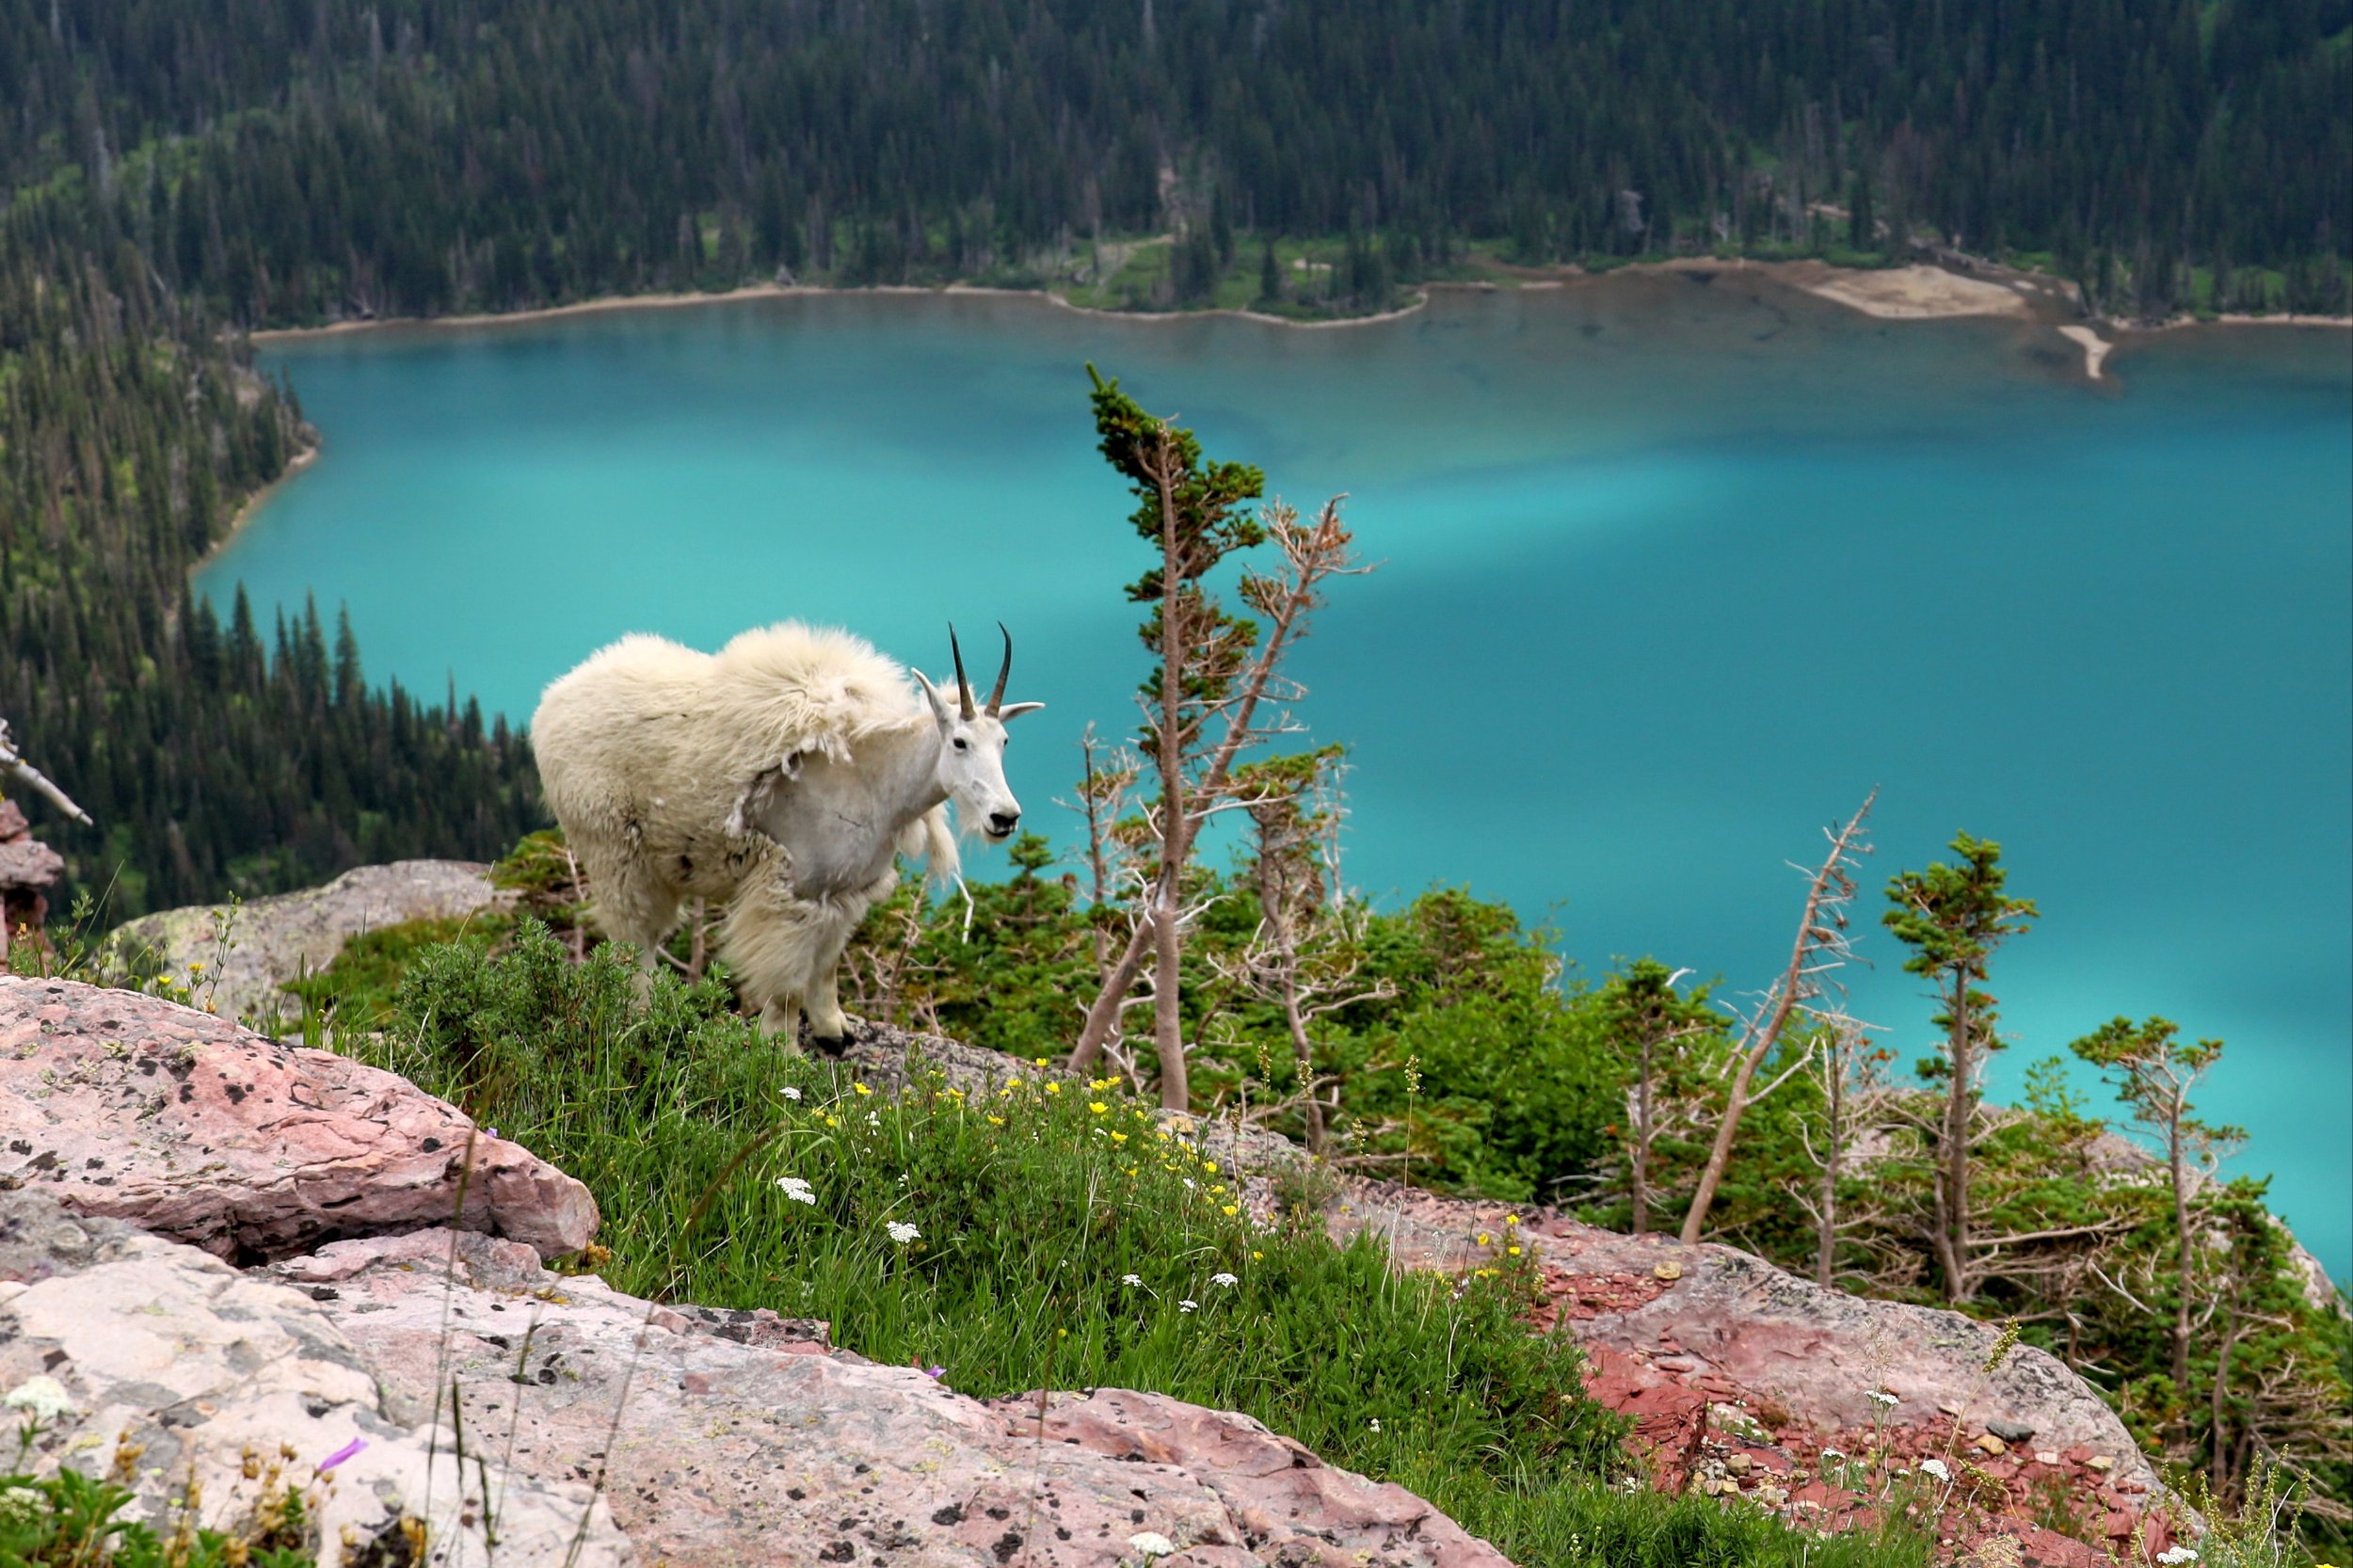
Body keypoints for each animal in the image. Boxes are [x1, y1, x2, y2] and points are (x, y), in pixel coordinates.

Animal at [538, 616, 1054, 1045]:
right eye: (960, 742)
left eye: (1004, 741)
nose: (1005, 817)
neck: (874, 781)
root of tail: (553, 700)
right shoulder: (790, 891)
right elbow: (786, 988)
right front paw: (782, 1053)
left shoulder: (844, 892)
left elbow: (825, 967)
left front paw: (835, 1032)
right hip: (614, 845)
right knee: (634, 935)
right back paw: (640, 1015)